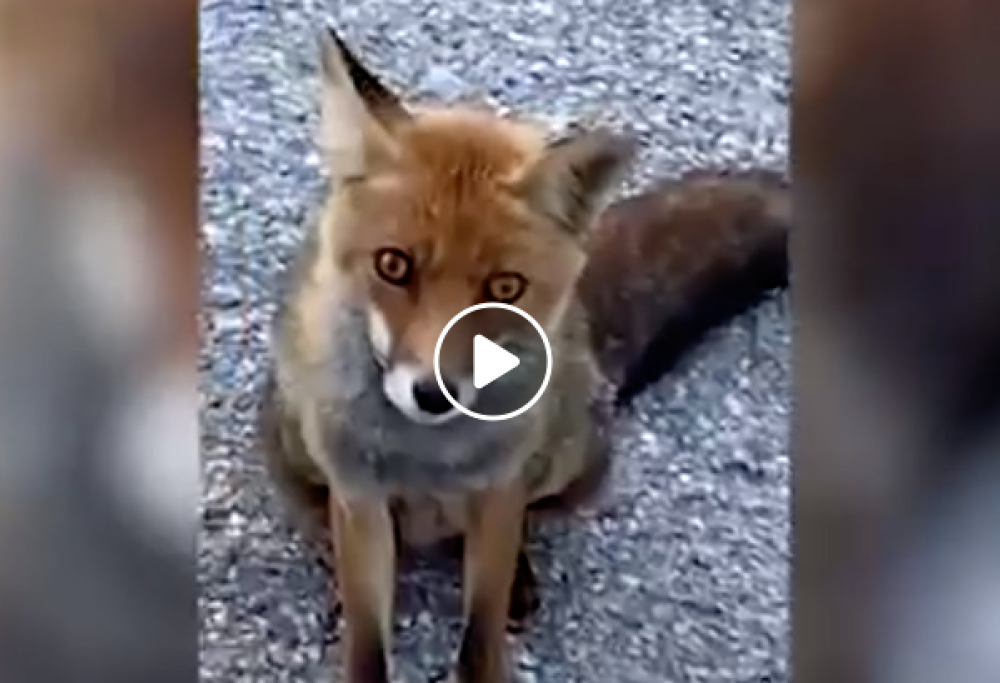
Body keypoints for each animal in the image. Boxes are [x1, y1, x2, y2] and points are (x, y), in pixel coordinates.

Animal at [259, 27, 790, 683]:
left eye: (505, 287)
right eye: (393, 265)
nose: (433, 393)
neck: (428, 459)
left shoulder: (501, 486)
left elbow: (481, 628)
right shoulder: (359, 494)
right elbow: (367, 643)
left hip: (573, 459)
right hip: (292, 448)